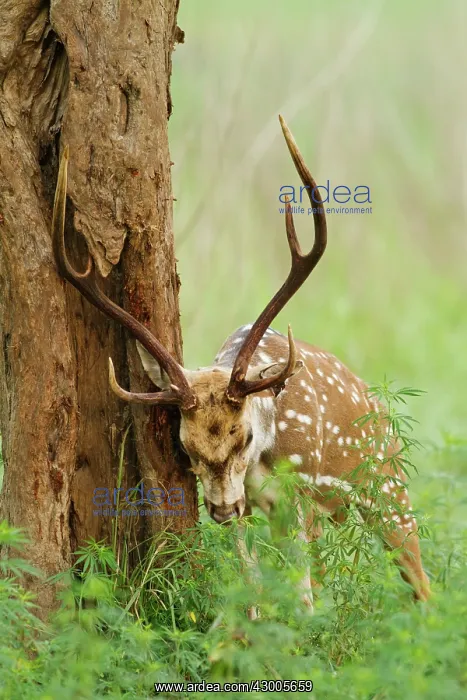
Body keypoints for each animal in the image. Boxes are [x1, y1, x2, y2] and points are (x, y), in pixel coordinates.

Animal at [52, 116, 430, 614]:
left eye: (244, 435)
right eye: (184, 445)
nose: (220, 510)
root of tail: (379, 405)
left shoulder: (302, 487)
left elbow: (303, 592)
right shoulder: (251, 505)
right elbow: (253, 584)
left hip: (387, 486)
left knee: (419, 579)